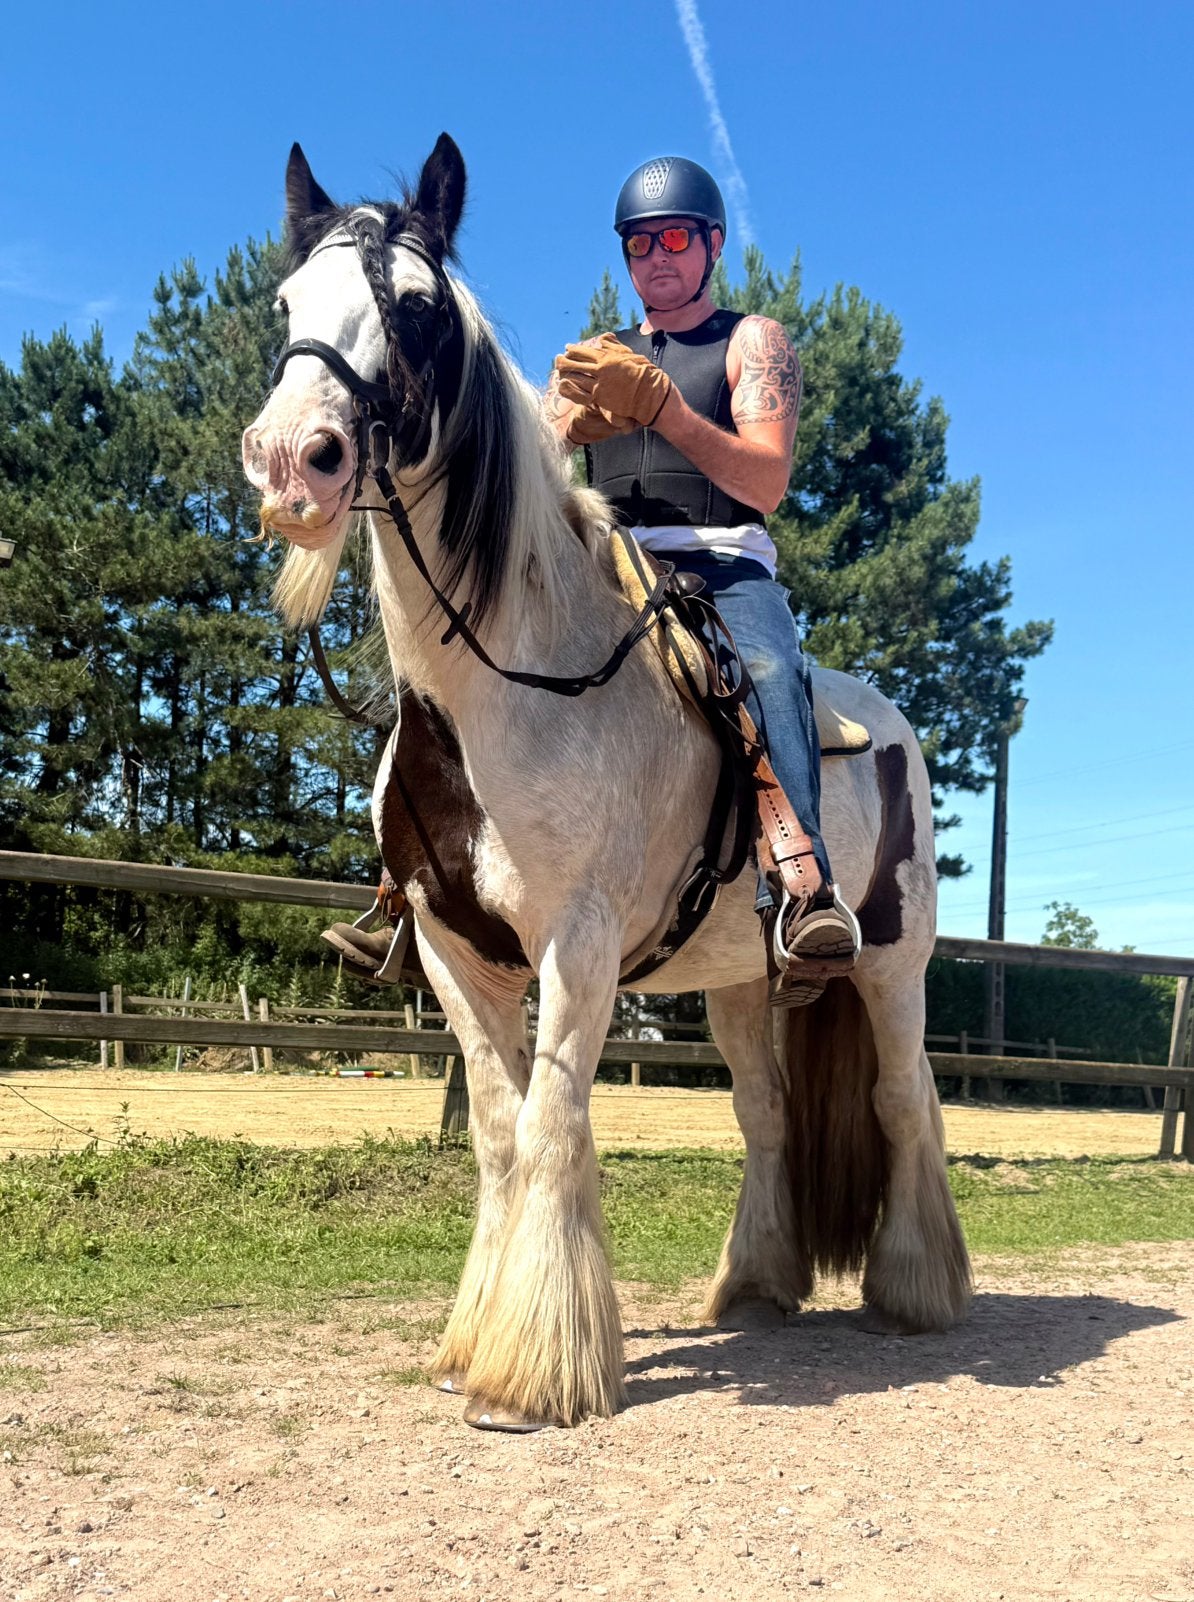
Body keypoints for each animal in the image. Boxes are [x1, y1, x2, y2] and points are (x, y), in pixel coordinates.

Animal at [241, 134, 972, 1432]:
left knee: (904, 1103)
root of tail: (888, 720)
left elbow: (550, 1125)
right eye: (286, 305)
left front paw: (529, 1374)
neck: (501, 692)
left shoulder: (574, 945)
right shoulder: (452, 952)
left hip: (891, 968)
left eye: (417, 308)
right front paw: (474, 1342)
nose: (293, 463)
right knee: (767, 1116)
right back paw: (757, 1286)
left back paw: (918, 1291)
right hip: (741, 984)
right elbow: (499, 1132)